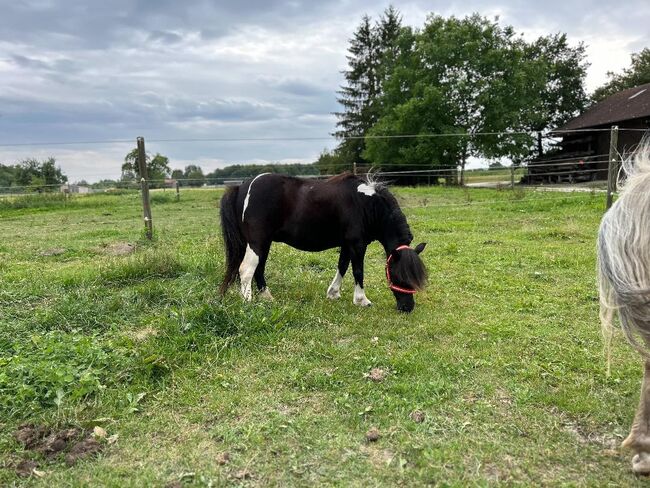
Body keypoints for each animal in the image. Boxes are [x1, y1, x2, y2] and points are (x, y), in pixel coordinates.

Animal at [220, 172, 428, 312]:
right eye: (398, 274)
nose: (407, 307)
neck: (366, 204)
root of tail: (243, 187)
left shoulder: (347, 245)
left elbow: (342, 266)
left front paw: (333, 293)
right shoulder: (357, 244)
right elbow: (358, 271)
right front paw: (362, 300)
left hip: (264, 242)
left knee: (259, 268)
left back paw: (266, 296)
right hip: (257, 241)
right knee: (246, 269)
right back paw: (248, 302)